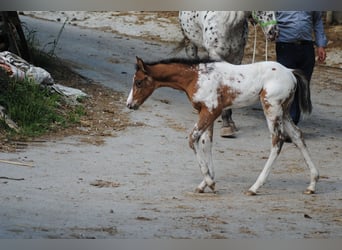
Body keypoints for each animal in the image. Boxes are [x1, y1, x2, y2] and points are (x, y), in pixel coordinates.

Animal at [127, 56, 320, 195]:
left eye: (138, 82)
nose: (129, 104)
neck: (196, 76)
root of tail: (290, 71)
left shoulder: (211, 111)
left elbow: (192, 139)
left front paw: (210, 183)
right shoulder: (206, 112)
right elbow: (207, 143)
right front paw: (205, 183)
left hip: (271, 108)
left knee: (277, 141)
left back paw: (254, 187)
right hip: (284, 111)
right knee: (297, 136)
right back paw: (312, 184)